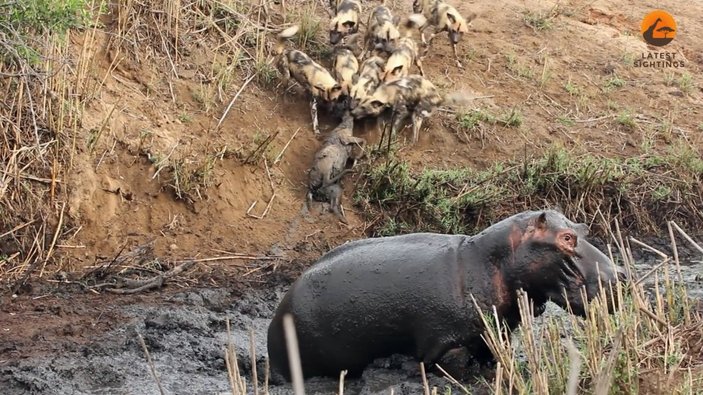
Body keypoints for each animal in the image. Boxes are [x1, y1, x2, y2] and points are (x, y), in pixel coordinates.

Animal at [266, 210, 628, 384]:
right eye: (566, 238)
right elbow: (447, 363)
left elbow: (493, 355)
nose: (621, 275)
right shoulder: (443, 342)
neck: (489, 261)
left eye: (582, 227)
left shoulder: (495, 332)